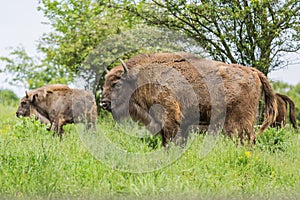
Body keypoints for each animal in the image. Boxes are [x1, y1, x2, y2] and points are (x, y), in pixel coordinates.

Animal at [100, 52, 276, 146]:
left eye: (117, 84)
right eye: (105, 82)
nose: (103, 103)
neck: (140, 78)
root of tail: (252, 71)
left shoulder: (170, 119)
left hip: (239, 122)